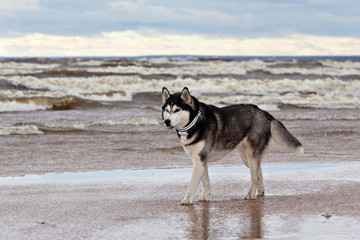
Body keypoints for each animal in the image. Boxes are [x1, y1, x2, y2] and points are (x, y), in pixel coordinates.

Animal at [162, 87, 302, 205]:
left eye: (177, 110)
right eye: (167, 110)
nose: (167, 121)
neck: (194, 122)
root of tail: (263, 112)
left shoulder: (199, 161)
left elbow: (192, 184)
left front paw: (187, 200)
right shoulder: (201, 161)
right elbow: (206, 182)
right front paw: (205, 197)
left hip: (251, 155)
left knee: (254, 177)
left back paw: (250, 195)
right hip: (245, 156)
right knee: (259, 174)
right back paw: (260, 193)